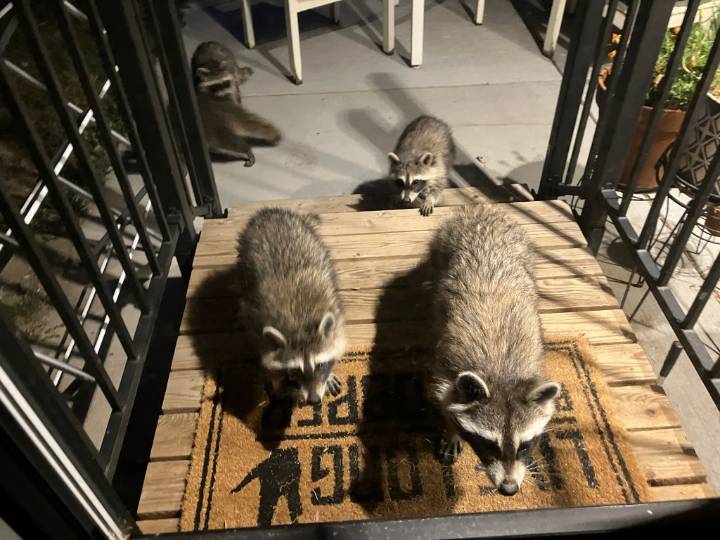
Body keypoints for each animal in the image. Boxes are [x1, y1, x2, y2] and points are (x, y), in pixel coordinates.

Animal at [236, 208, 346, 405]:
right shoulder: (256, 322)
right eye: (295, 370)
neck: (299, 322)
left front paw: (329, 375)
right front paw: (286, 385)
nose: (314, 401)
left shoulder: (335, 307)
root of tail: (268, 212)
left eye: (320, 365)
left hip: (313, 240)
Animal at [429, 203, 560, 496]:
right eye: (489, 444)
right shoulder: (444, 368)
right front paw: (451, 429)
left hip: (525, 249)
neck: (502, 374)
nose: (508, 489)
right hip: (442, 245)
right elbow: (445, 401)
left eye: (524, 445)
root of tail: (481, 209)